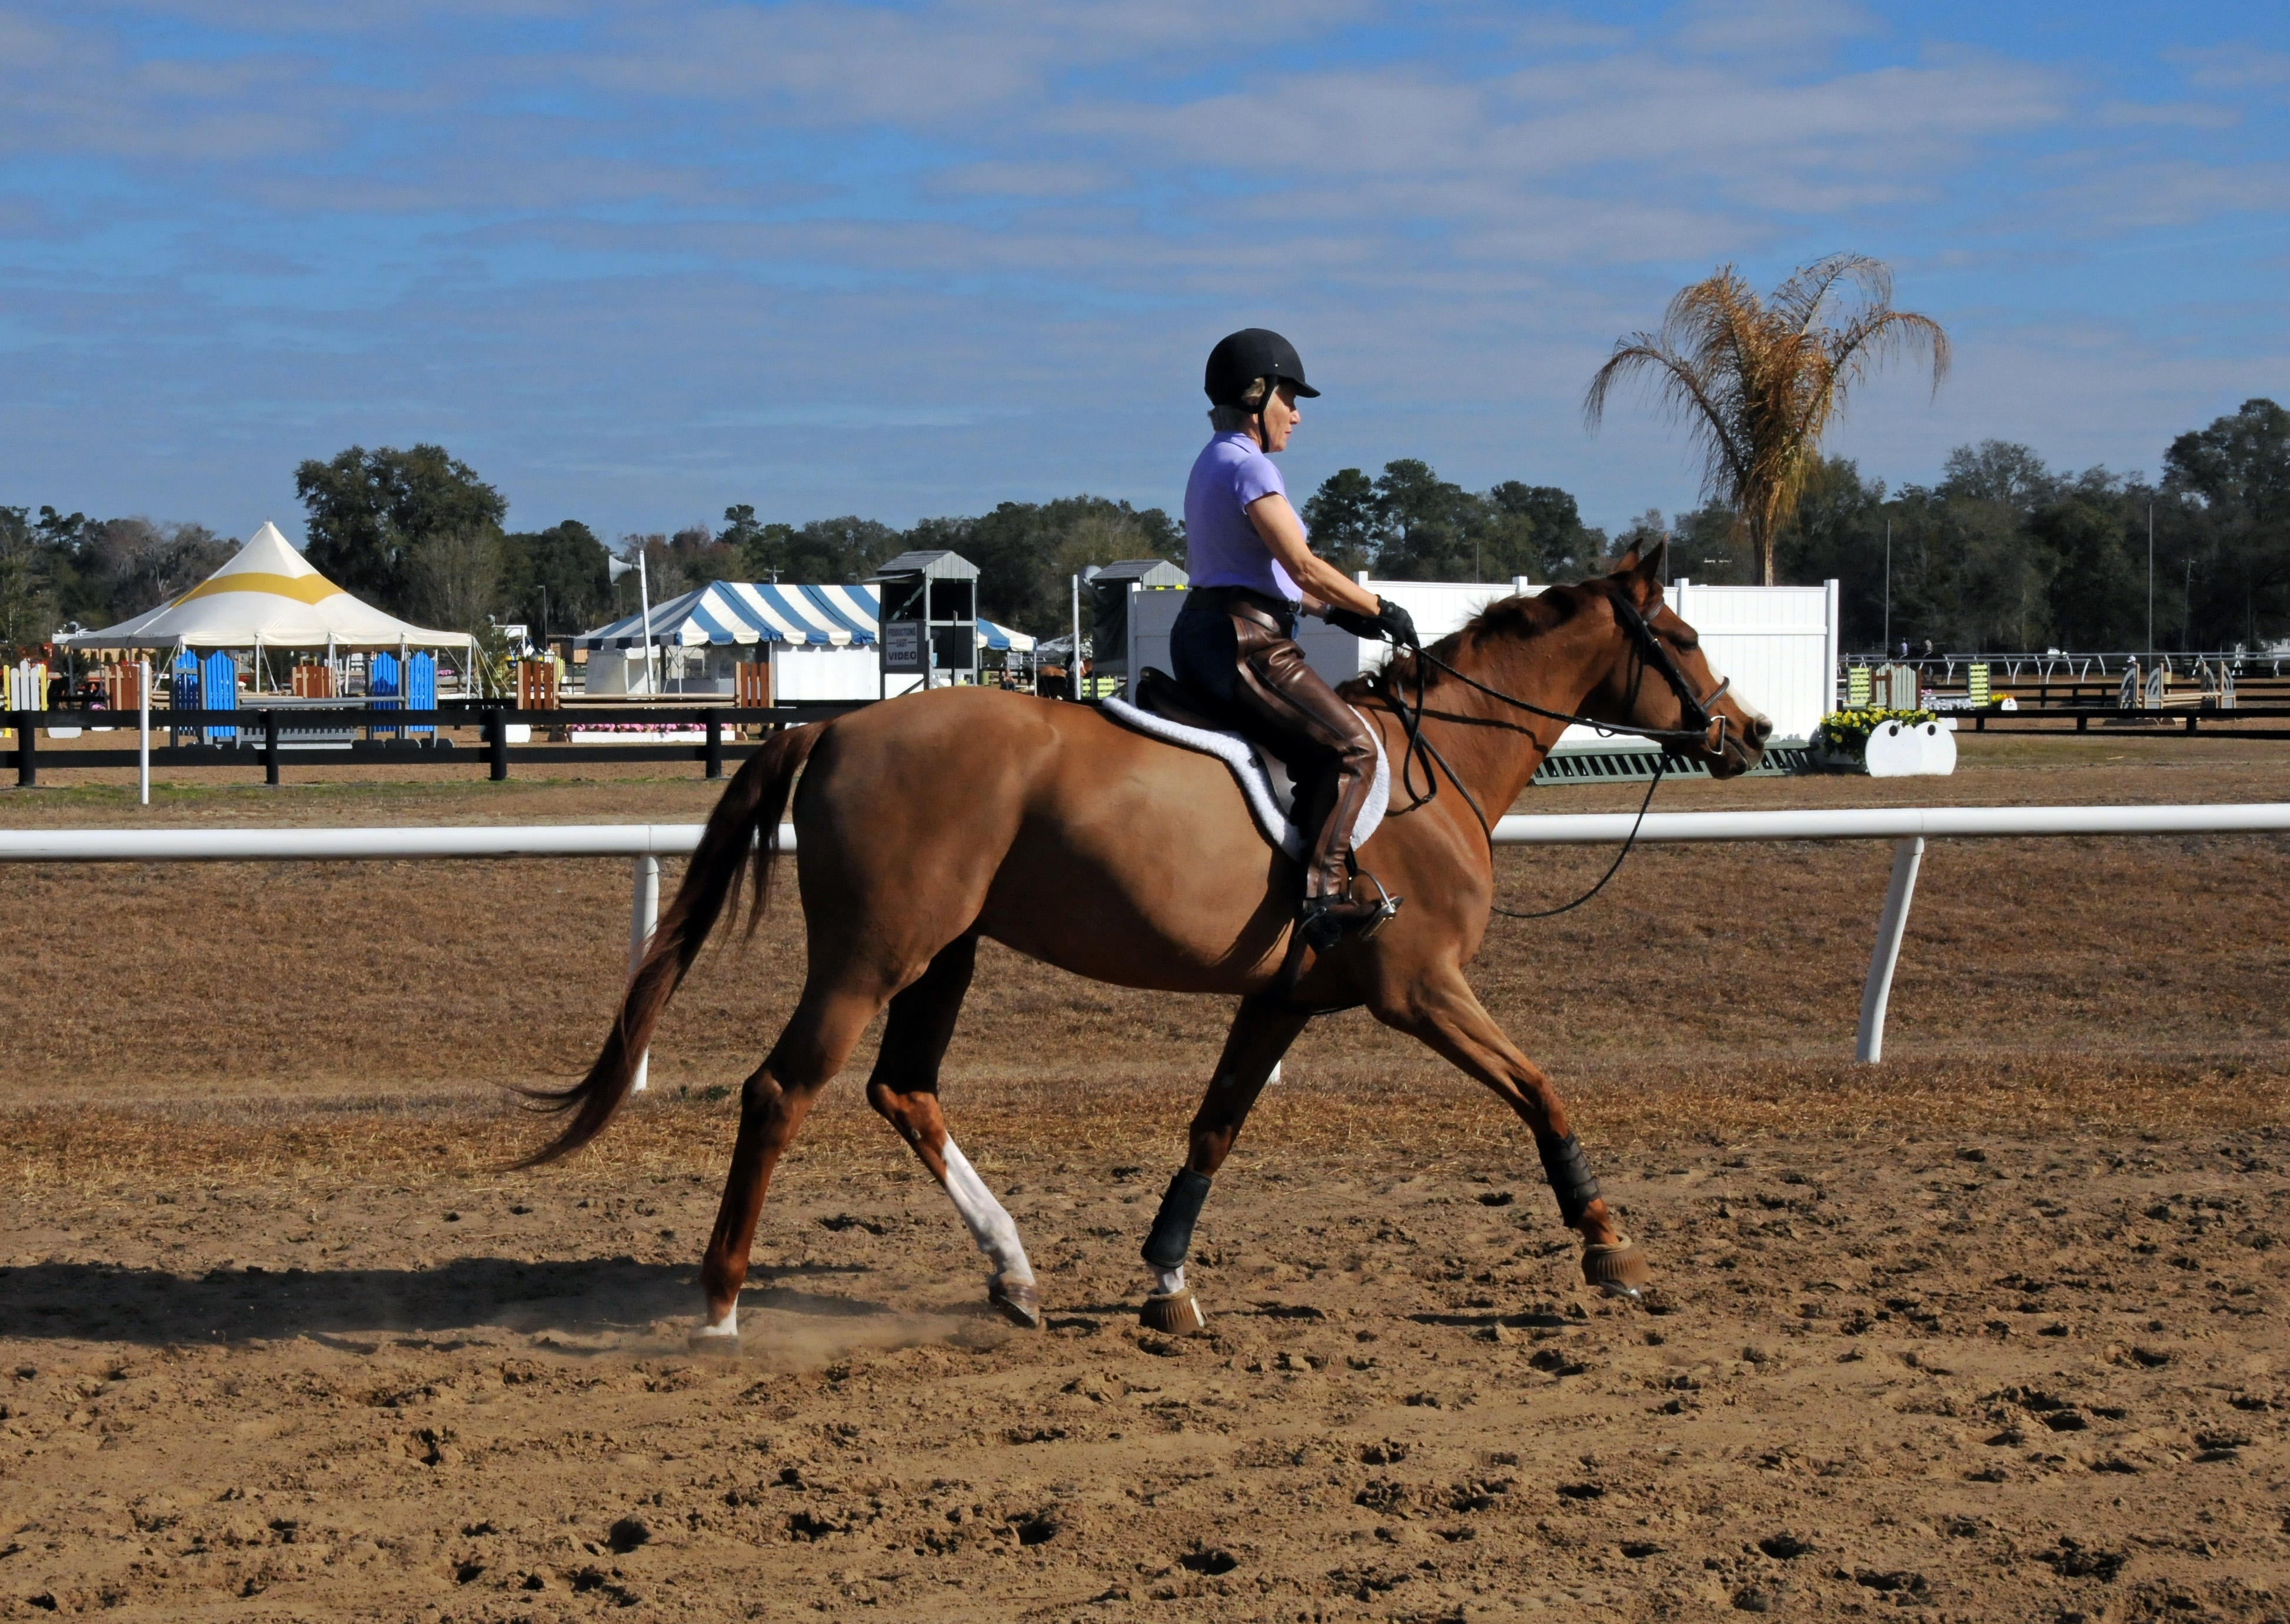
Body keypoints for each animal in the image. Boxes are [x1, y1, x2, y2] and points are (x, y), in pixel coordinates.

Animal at [527, 545, 1759, 1346]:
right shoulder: (1421, 990)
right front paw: (1608, 1245)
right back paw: (723, 1304)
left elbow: (1214, 1130)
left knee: (903, 1091)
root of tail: (834, 726)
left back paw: (1015, 1276)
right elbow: (1540, 1090)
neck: (1432, 764)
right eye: (1683, 638)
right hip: (872, 957)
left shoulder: (1281, 998)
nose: (1746, 733)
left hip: (945, 955)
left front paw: (1166, 1284)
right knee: (782, 1091)